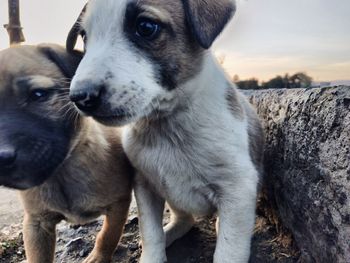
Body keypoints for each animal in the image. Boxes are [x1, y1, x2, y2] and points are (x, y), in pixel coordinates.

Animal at [0, 45, 133, 263]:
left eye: (38, 94)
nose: (2, 158)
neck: (61, 173)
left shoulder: (119, 204)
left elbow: (108, 235)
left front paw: (99, 257)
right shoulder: (36, 223)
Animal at [67, 1, 264, 262]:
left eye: (146, 27)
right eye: (84, 37)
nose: (80, 97)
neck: (167, 126)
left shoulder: (238, 189)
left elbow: (228, 251)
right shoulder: (144, 185)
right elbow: (151, 234)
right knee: (184, 220)